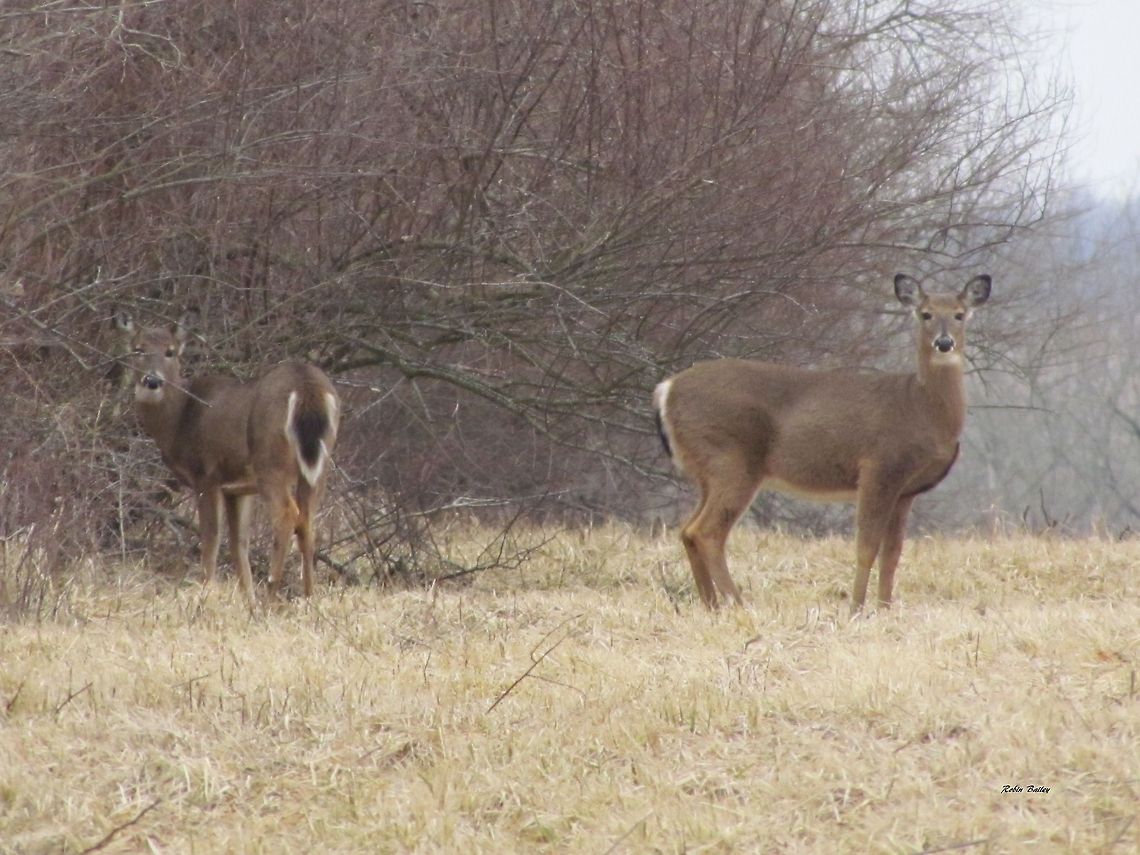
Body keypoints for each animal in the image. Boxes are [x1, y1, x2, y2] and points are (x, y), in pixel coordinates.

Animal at [114, 312, 339, 606]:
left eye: (170, 351)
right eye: (138, 349)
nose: (152, 381)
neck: (179, 420)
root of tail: (307, 389)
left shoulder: (206, 474)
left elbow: (211, 536)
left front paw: (206, 590)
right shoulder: (238, 488)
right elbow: (238, 542)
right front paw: (247, 598)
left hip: (270, 462)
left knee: (287, 514)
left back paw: (271, 594)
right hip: (318, 465)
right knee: (307, 520)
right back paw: (308, 596)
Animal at [653, 273, 991, 613]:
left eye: (960, 314)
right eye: (926, 314)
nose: (944, 343)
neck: (921, 407)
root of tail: (666, 389)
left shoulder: (906, 491)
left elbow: (892, 554)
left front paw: (884, 608)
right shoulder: (878, 468)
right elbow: (866, 547)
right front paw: (856, 609)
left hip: (708, 471)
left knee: (687, 530)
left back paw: (711, 605)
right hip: (731, 459)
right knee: (706, 532)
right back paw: (738, 604)